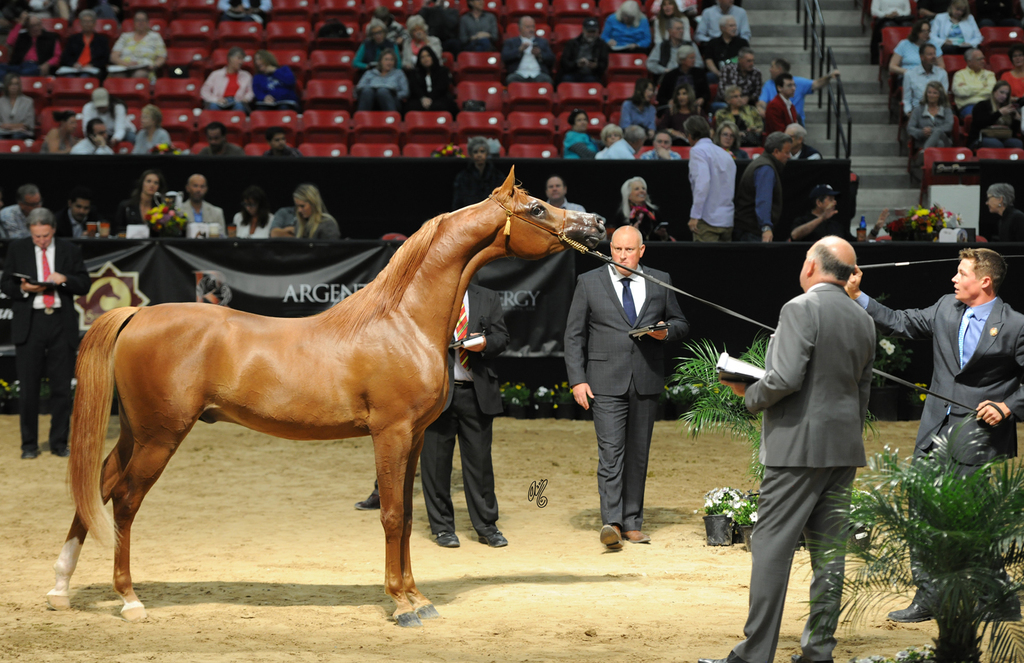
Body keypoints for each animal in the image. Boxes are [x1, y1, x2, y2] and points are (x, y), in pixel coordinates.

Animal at [45, 168, 605, 628]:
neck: (402, 322)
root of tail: (138, 314)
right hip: (160, 436)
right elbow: (392, 516)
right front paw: (401, 605)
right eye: (537, 208)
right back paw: (129, 599)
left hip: (137, 432)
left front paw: (418, 598)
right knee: (124, 501)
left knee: (98, 484)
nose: (597, 222)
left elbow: (407, 517)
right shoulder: (390, 434)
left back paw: (59, 588)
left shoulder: (415, 438)